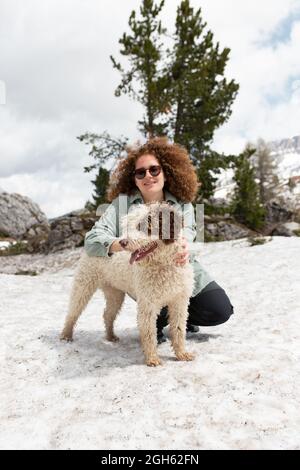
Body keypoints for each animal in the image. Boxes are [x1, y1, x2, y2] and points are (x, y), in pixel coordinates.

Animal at [61, 202, 195, 368]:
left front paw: (182, 354)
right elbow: (149, 333)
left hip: (115, 294)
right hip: (83, 285)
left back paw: (111, 336)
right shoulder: (147, 305)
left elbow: (178, 329)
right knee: (73, 312)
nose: (123, 242)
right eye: (128, 225)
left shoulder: (179, 302)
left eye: (145, 226)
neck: (164, 265)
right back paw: (66, 335)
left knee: (107, 314)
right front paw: (152, 358)